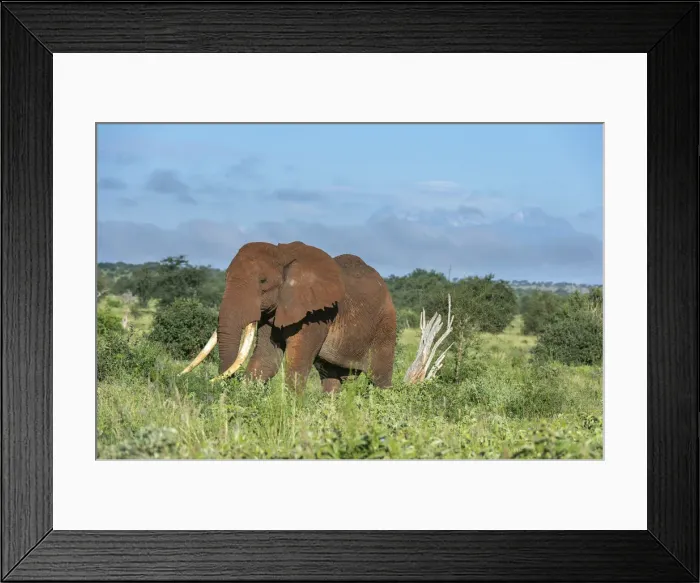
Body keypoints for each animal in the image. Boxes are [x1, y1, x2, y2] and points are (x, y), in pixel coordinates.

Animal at [180, 241, 397, 393]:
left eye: (263, 281)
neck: (283, 254)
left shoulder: (317, 313)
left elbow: (296, 363)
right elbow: (266, 360)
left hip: (385, 325)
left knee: (380, 379)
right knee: (332, 379)